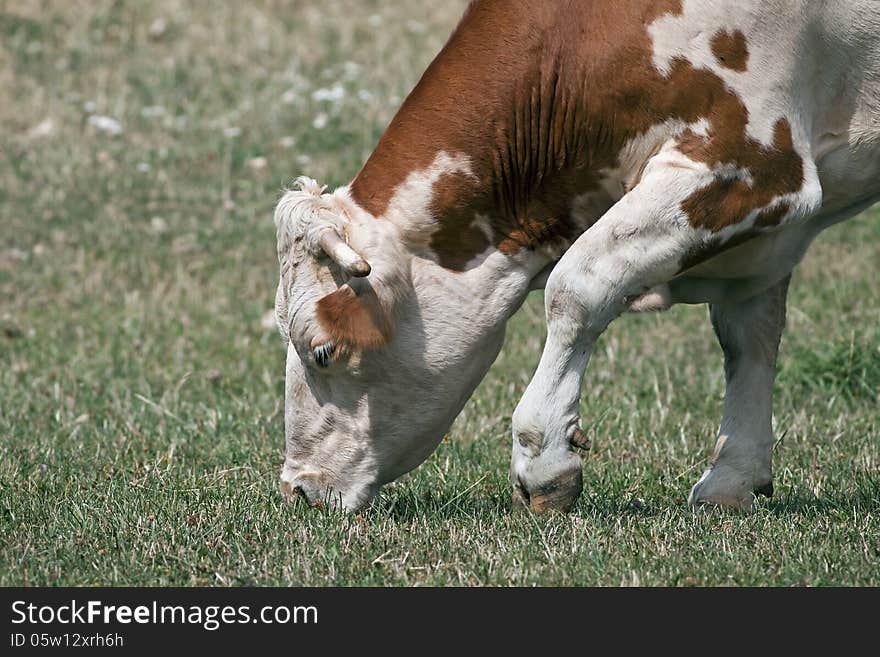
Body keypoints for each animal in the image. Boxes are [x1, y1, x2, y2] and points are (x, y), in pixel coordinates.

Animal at [274, 0, 880, 512]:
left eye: (323, 350)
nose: (299, 490)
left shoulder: (753, 163)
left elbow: (578, 284)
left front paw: (544, 460)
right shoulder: (760, 239)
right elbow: (748, 337)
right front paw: (734, 478)